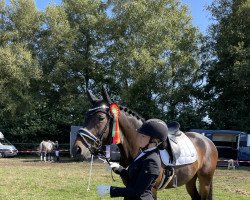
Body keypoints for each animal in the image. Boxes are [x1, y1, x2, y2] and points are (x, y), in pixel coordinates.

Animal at [75, 86, 218, 199]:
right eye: (85, 116)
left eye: (100, 118)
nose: (77, 149)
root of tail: (207, 141)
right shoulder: (130, 187)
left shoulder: (150, 190)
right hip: (190, 180)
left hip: (205, 181)